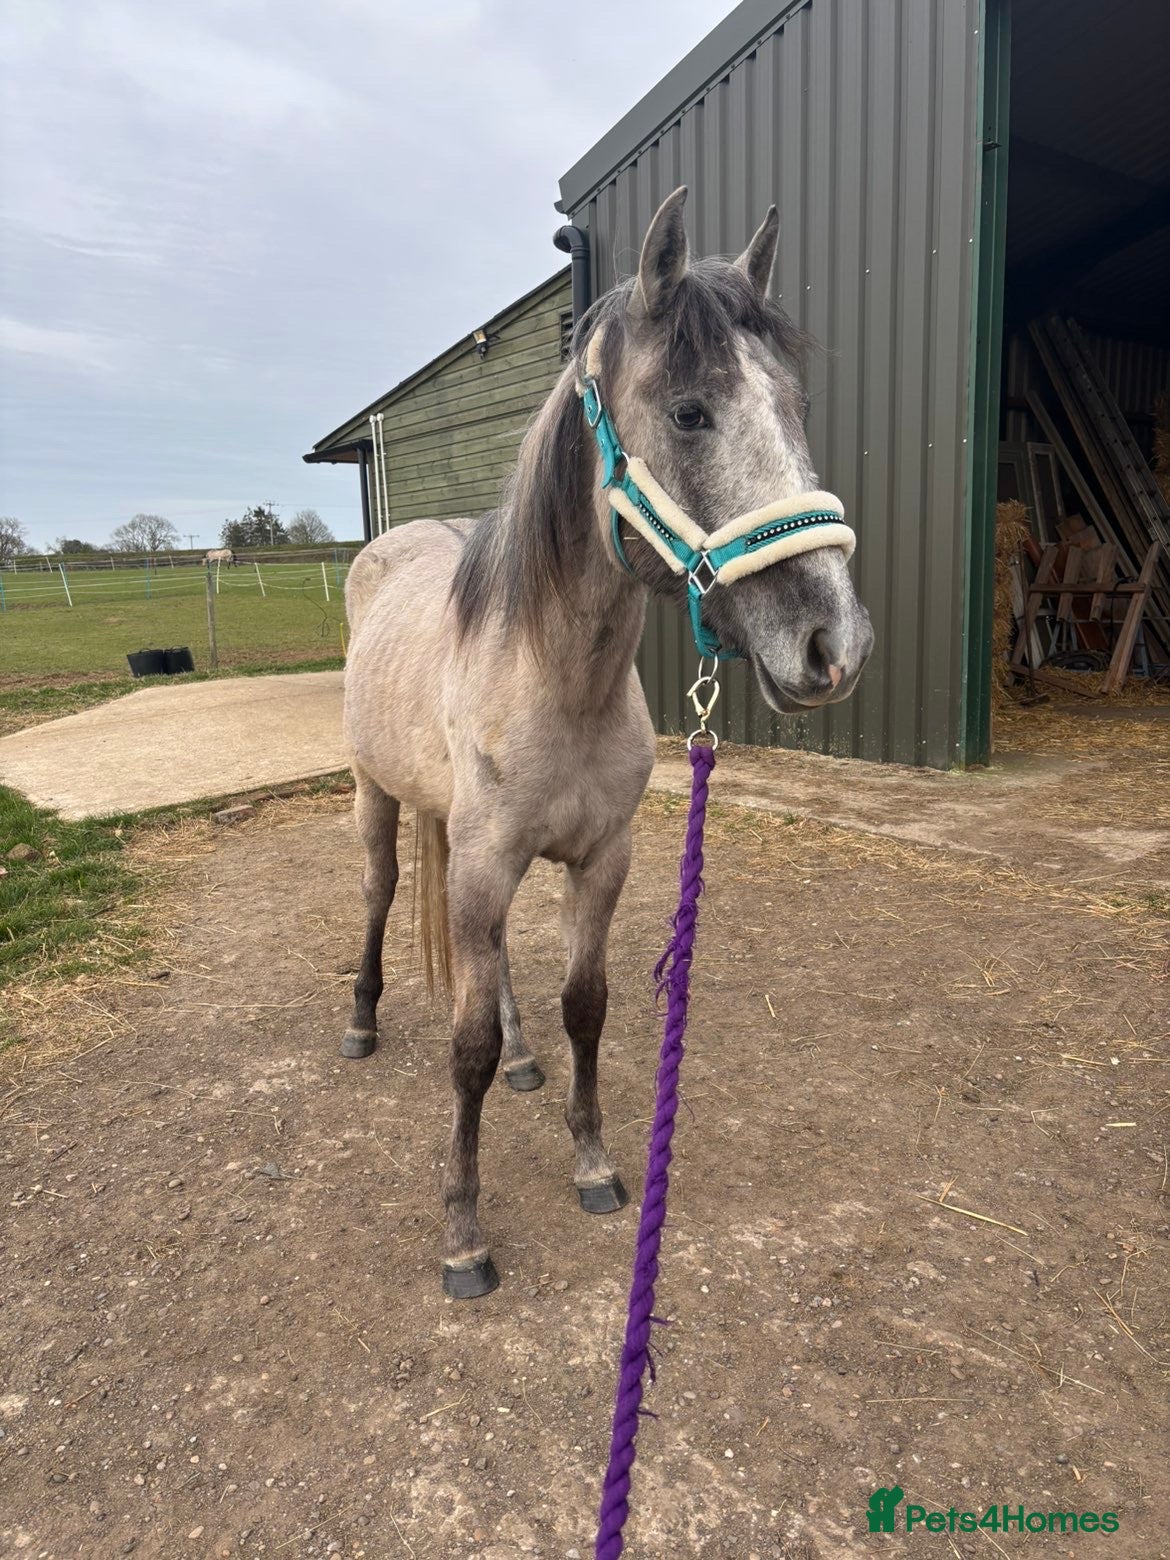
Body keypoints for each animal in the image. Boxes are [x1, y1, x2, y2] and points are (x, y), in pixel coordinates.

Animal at [340, 188, 873, 1298]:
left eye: (795, 406)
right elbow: (461, 1052)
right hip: (376, 796)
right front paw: (464, 1231)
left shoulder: (601, 861)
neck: (556, 679)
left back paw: (524, 1057)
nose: (834, 645)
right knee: (379, 893)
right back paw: (361, 1022)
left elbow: (583, 1004)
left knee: (496, 966)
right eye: (689, 412)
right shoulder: (486, 863)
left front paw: (589, 1159)